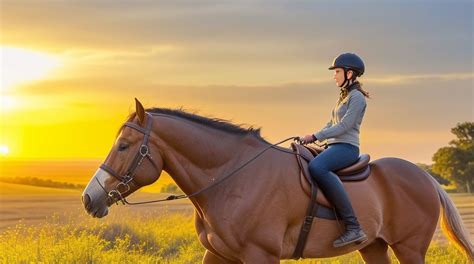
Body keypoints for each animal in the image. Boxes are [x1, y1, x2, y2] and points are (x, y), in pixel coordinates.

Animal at [83, 99, 472, 264]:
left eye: (123, 145)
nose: (89, 198)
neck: (232, 178)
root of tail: (424, 177)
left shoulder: (261, 256)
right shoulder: (218, 254)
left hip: (409, 248)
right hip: (374, 246)